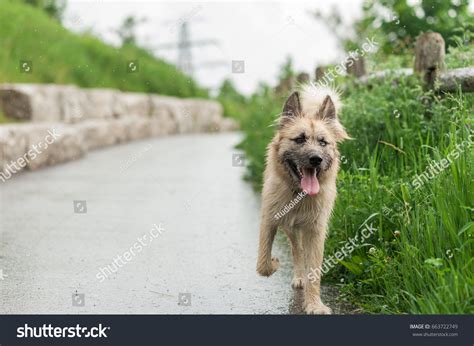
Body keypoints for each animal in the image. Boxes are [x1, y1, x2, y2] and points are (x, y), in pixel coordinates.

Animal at [256, 83, 348, 314]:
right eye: (299, 139)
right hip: (290, 228)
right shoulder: (269, 221)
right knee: (296, 251)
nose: (316, 159)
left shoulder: (315, 230)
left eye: (323, 142)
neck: (298, 194)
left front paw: (315, 304)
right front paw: (274, 262)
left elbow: (314, 269)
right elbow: (263, 263)